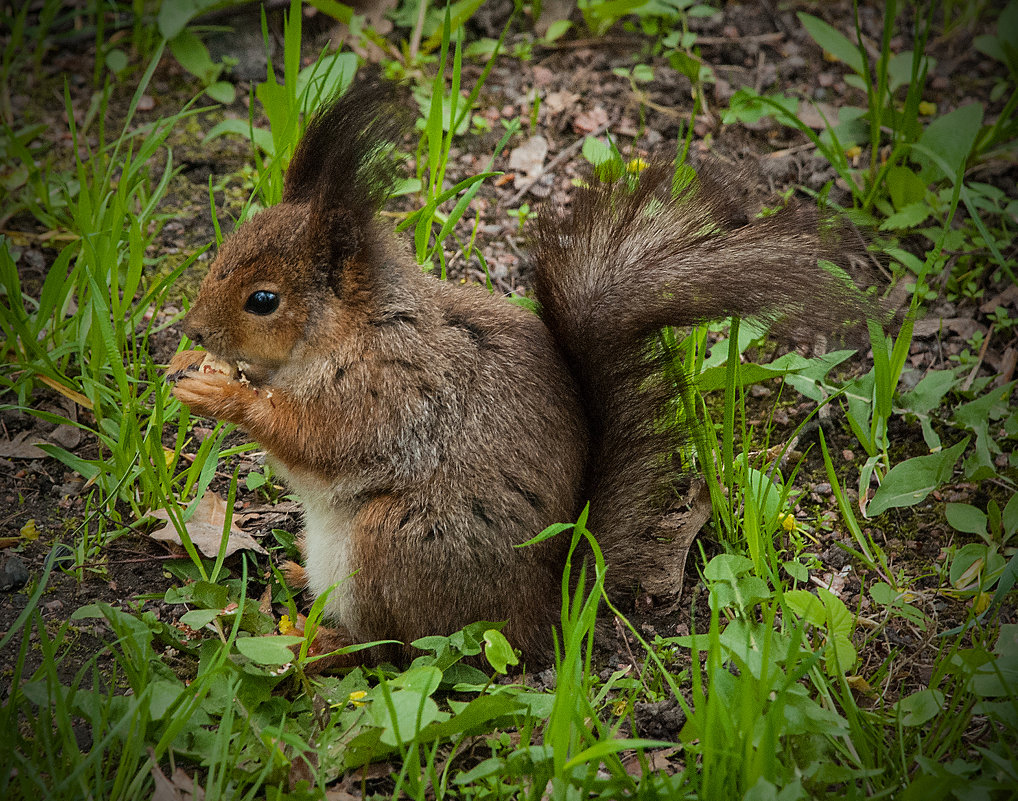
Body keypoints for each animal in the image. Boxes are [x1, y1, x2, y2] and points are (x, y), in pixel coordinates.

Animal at [164, 79, 867, 671]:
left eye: (263, 300)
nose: (194, 331)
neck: (348, 332)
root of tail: (538, 613)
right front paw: (187, 366)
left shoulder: (391, 391)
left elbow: (319, 439)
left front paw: (222, 393)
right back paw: (294, 581)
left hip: (399, 543)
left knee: (397, 648)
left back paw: (319, 644)